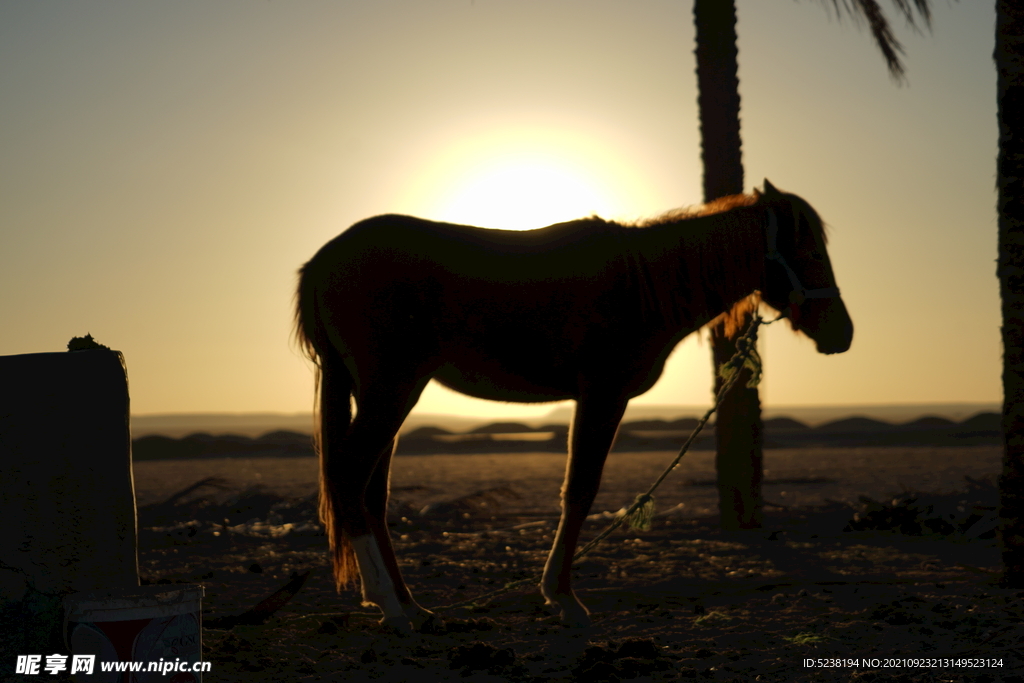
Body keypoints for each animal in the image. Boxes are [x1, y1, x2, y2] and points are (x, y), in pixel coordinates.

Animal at [292, 179, 851, 634]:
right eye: (807, 247)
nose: (842, 333)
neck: (642, 285)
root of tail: (322, 261)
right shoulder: (602, 396)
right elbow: (580, 490)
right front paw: (563, 599)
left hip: (380, 395)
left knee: (371, 493)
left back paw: (409, 605)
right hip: (392, 391)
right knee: (349, 477)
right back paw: (389, 606)